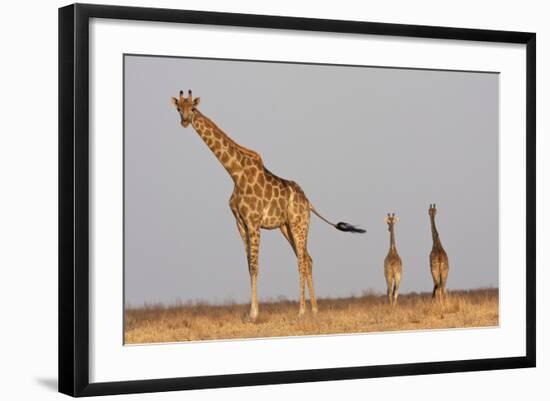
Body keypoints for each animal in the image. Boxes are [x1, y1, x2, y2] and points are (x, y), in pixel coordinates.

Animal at [170, 90, 364, 318]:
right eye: (178, 108)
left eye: (192, 108)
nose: (184, 121)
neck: (235, 174)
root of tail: (308, 203)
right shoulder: (240, 223)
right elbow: (249, 265)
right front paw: (250, 312)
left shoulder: (253, 221)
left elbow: (255, 265)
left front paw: (254, 313)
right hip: (286, 227)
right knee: (308, 259)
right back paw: (314, 309)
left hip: (299, 224)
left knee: (302, 260)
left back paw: (301, 310)